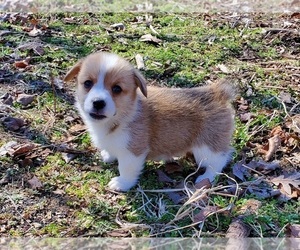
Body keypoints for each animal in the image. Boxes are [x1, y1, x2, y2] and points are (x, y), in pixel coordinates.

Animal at [64, 51, 236, 191]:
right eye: (88, 83)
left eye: (117, 89)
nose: (98, 102)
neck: (122, 116)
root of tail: (218, 93)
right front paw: (108, 155)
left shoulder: (132, 152)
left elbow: (126, 169)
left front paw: (121, 183)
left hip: (207, 147)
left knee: (219, 160)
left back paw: (206, 178)